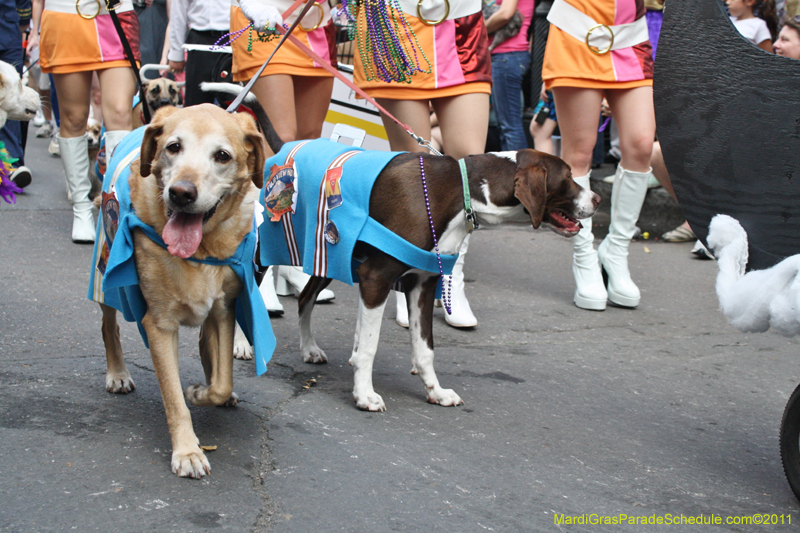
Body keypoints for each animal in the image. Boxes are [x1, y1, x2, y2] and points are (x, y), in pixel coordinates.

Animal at [95, 104, 268, 478]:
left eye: (222, 156)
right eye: (173, 147)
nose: (181, 192)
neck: (203, 248)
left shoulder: (224, 309)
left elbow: (222, 381)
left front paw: (203, 391)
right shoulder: (159, 326)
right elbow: (174, 399)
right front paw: (188, 451)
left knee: (207, 348)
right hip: (103, 272)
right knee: (108, 325)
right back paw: (117, 373)